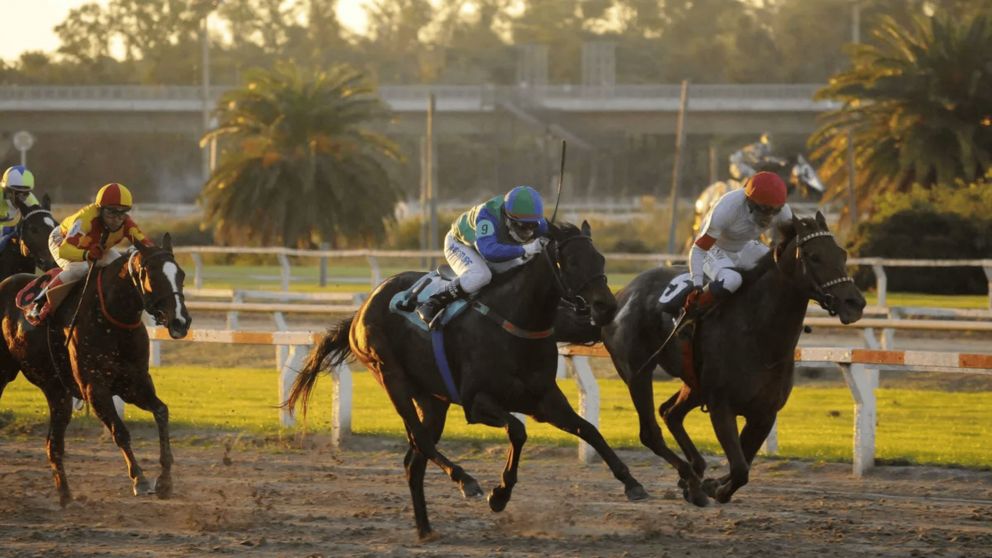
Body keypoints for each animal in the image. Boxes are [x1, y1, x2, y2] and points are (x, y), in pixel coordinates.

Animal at [0, 234, 191, 506]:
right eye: (152, 276)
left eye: (181, 275)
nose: (181, 322)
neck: (111, 316)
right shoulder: (95, 389)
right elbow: (120, 431)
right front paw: (140, 480)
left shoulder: (134, 384)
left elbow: (161, 412)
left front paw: (165, 480)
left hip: (56, 390)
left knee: (53, 443)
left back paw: (65, 494)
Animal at [288, 221, 648, 541]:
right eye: (572, 262)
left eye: (601, 259)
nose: (607, 308)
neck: (516, 324)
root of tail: (363, 307)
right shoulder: (477, 402)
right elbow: (518, 430)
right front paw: (499, 494)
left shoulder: (544, 400)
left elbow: (589, 430)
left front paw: (632, 483)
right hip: (391, 377)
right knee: (421, 441)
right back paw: (465, 481)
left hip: (433, 400)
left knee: (414, 460)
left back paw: (426, 529)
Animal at [584, 212, 864, 506]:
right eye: (813, 256)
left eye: (842, 253)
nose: (854, 303)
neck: (759, 336)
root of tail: (621, 294)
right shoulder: (722, 406)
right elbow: (740, 468)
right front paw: (712, 487)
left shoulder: (764, 413)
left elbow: (744, 463)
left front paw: (713, 483)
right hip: (638, 372)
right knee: (650, 431)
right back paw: (687, 480)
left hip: (694, 383)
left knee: (671, 413)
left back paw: (694, 472)